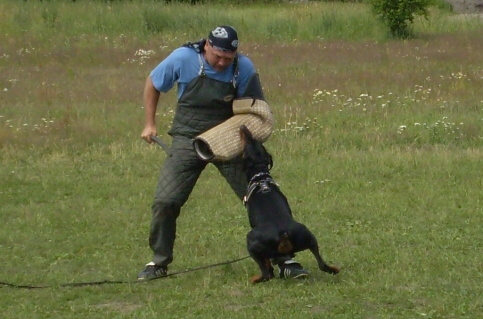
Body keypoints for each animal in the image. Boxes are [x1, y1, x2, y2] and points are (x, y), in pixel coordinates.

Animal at [239, 125, 340, 284]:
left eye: (247, 144)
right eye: (254, 140)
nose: (243, 127)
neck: (260, 177)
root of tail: (282, 234)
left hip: (251, 242)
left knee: (266, 273)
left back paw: (256, 279)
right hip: (309, 237)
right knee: (322, 264)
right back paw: (333, 269)